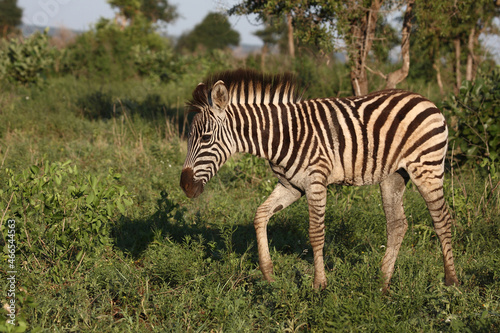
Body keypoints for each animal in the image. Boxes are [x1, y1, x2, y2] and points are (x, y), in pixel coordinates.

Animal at [181, 68, 460, 290]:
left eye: (205, 138)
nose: (184, 186)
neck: (282, 135)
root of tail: (425, 100)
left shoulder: (315, 182)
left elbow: (316, 233)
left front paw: (319, 284)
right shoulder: (291, 186)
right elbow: (260, 215)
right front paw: (268, 274)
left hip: (427, 168)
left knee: (442, 220)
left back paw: (451, 281)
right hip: (393, 175)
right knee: (397, 225)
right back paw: (382, 282)